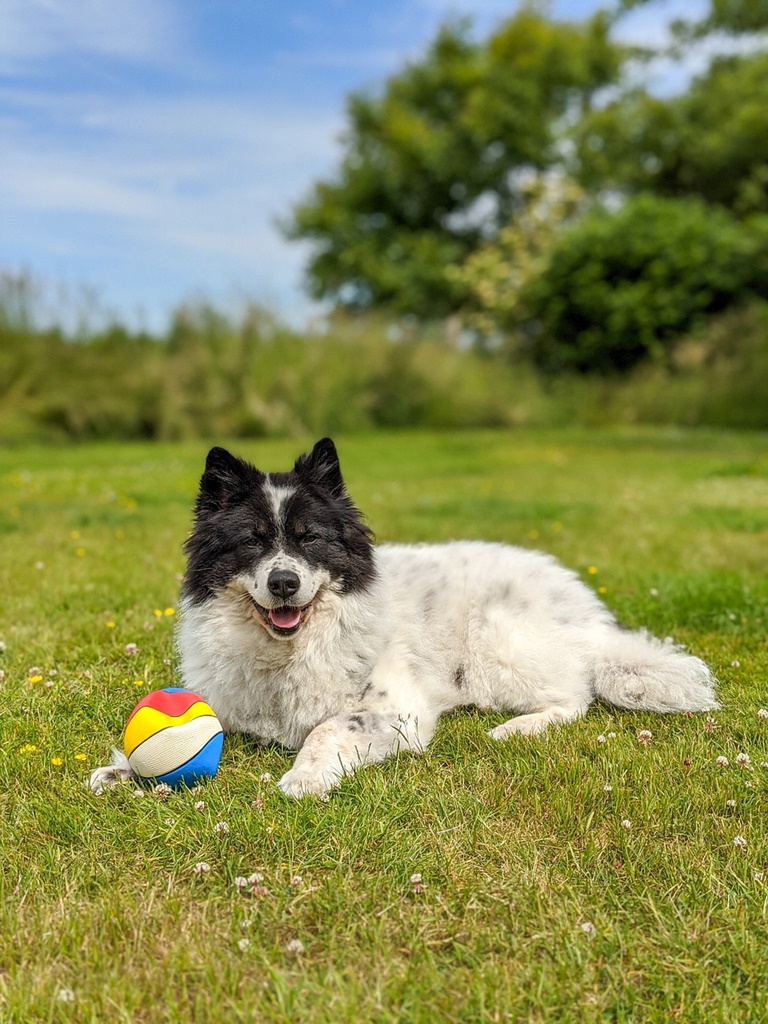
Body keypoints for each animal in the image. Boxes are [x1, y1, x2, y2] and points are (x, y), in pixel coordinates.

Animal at [87, 436, 720, 794]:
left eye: (309, 538)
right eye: (252, 542)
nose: (284, 583)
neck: (290, 650)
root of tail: (589, 613)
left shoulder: (394, 712)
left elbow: (327, 729)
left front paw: (303, 778)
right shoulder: (229, 702)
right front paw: (126, 771)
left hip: (496, 645)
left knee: (576, 696)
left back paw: (515, 728)